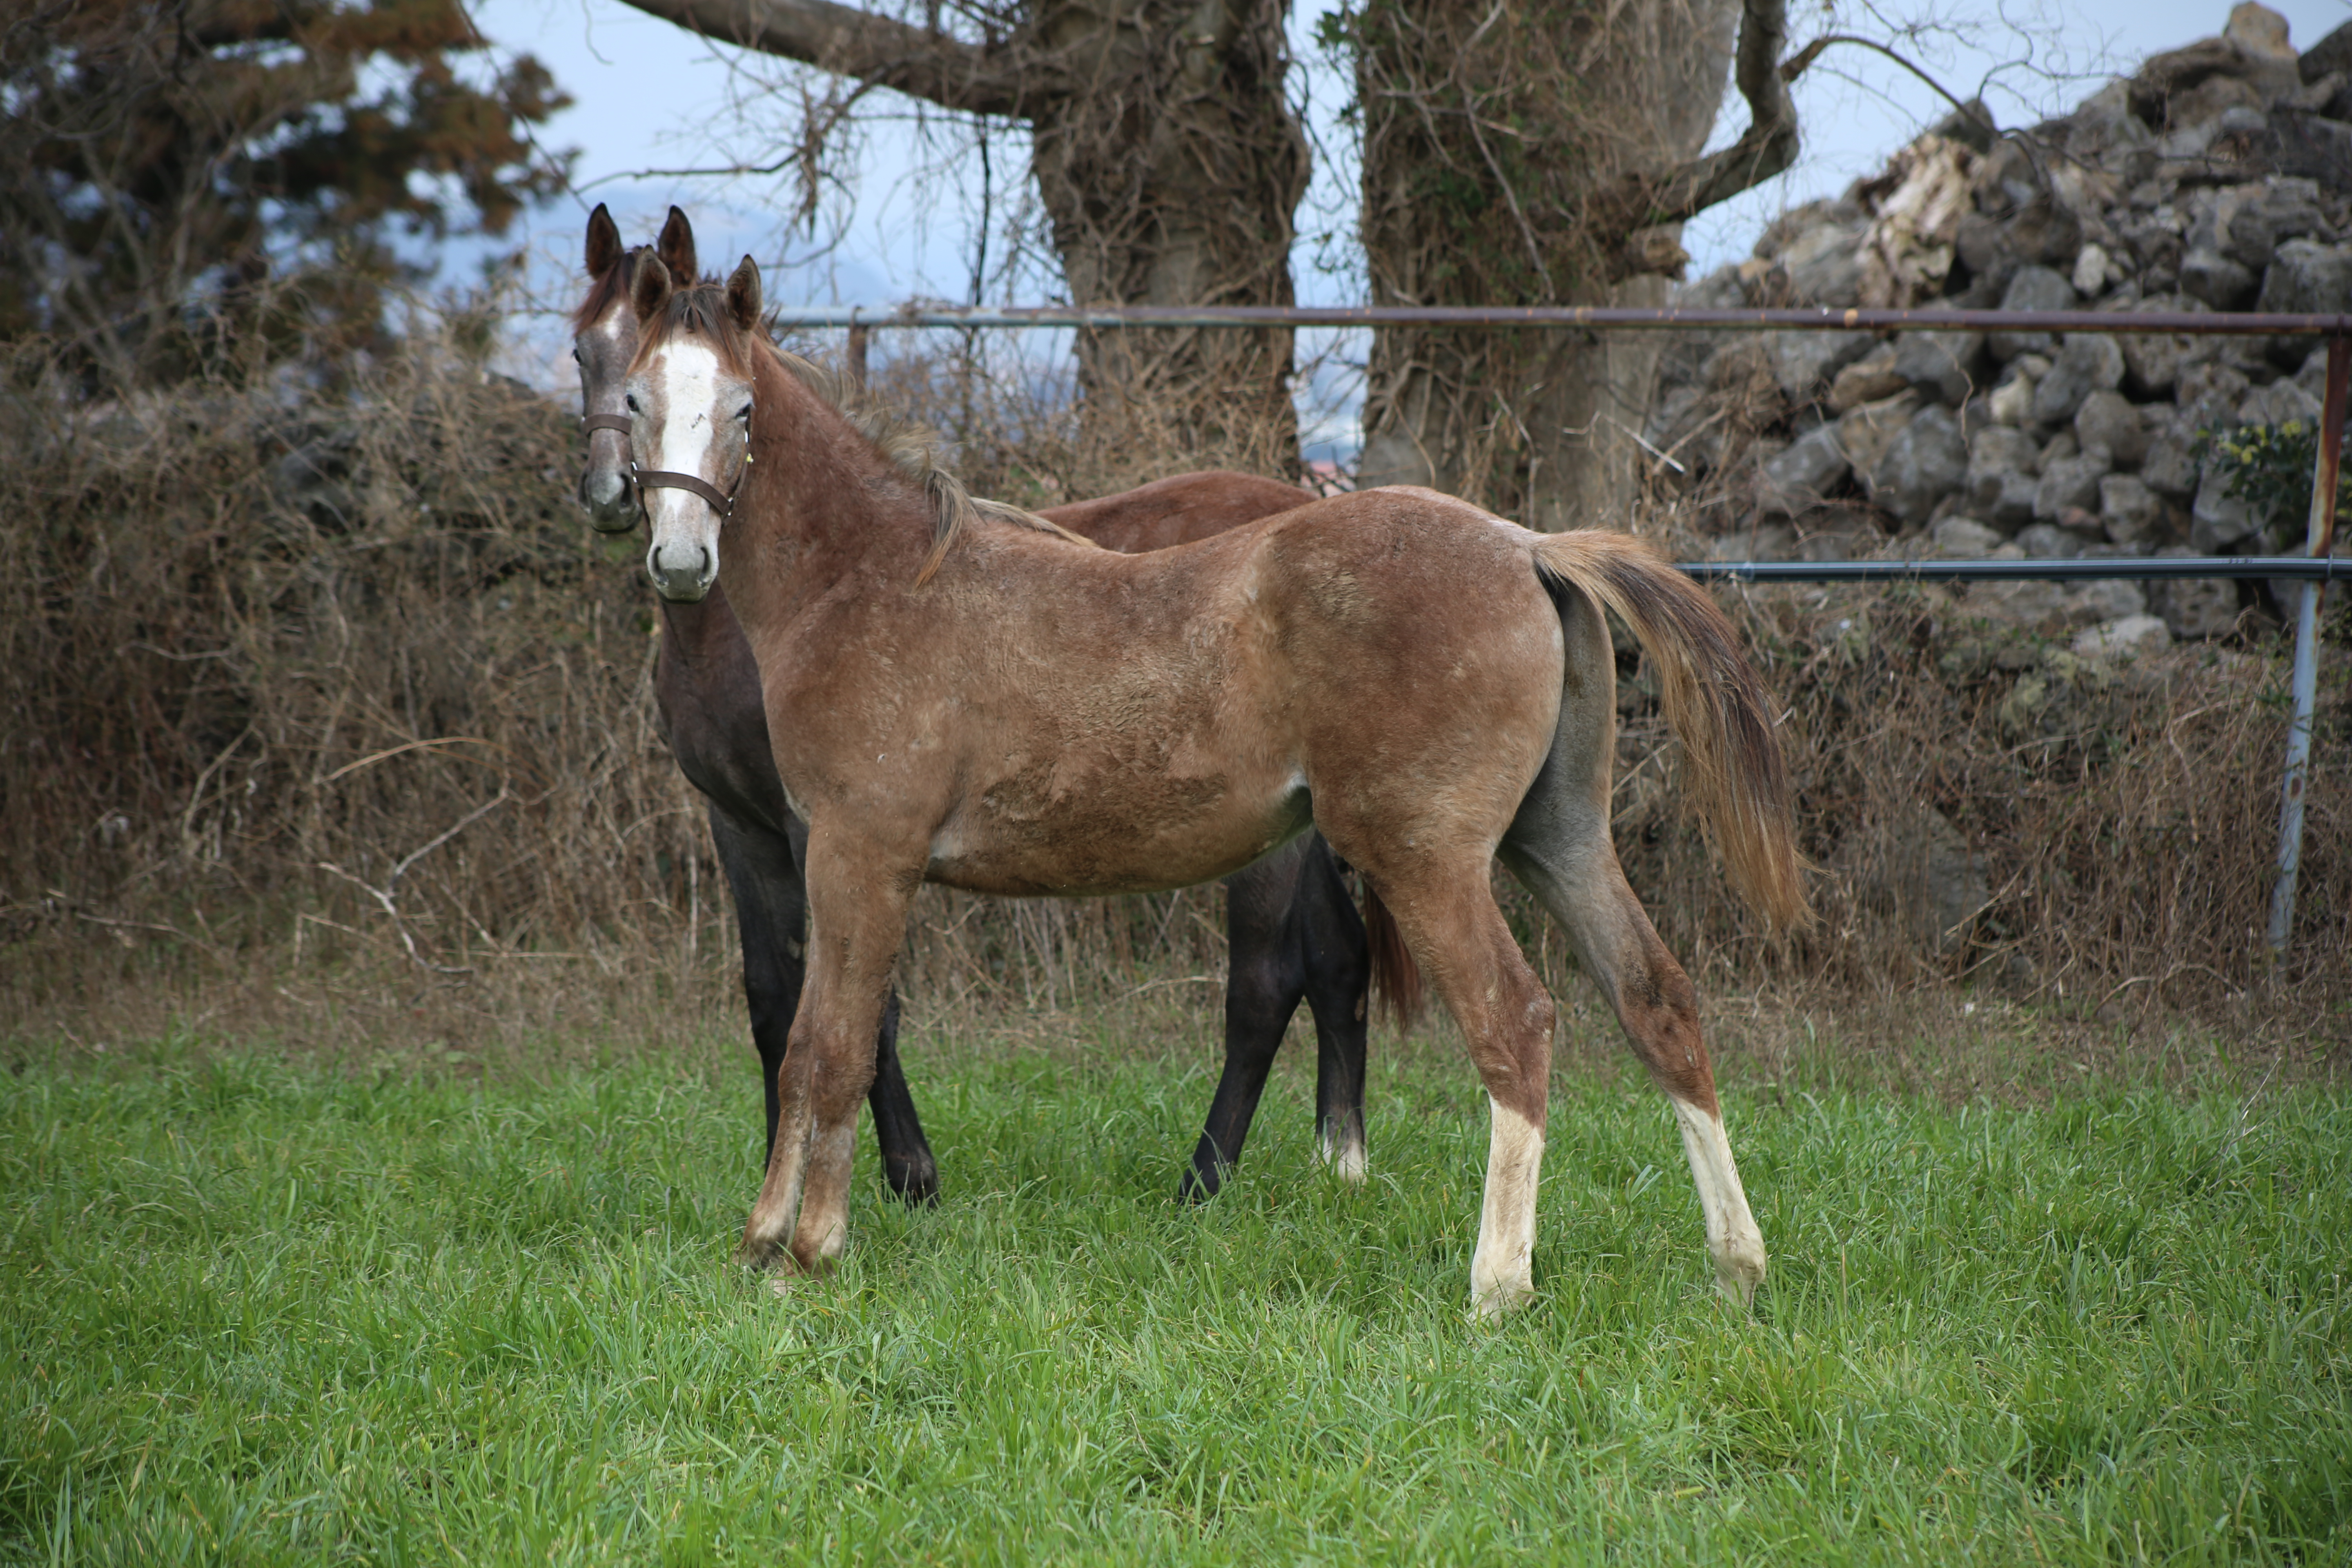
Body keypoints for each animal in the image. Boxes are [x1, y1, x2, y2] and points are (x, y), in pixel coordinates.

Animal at [626, 255, 1797, 1316]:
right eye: (635, 399)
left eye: (741, 409)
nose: (680, 562)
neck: (870, 580)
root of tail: (1528, 546)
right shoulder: (827, 858)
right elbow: (809, 1043)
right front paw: (767, 1239)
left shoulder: (858, 855)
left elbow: (832, 1045)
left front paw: (807, 1252)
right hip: (1556, 841)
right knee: (1657, 1001)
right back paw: (1735, 1269)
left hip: (1429, 861)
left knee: (1514, 1026)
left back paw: (1496, 1287)